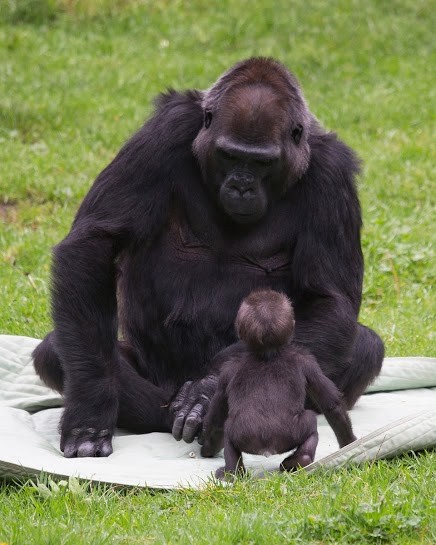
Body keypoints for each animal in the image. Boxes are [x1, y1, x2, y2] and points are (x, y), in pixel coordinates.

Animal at [32, 57, 384, 456]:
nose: (241, 186)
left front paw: (208, 390)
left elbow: (330, 302)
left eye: (262, 163)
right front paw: (90, 411)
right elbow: (95, 242)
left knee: (364, 346)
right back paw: (163, 415)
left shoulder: (332, 174)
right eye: (229, 155)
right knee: (56, 351)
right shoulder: (167, 128)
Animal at [201, 288, 358, 476]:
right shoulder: (307, 361)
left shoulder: (228, 370)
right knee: (311, 425)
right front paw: (350, 443)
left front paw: (350, 443)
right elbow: (332, 406)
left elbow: (332, 406)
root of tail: (267, 446)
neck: (268, 352)